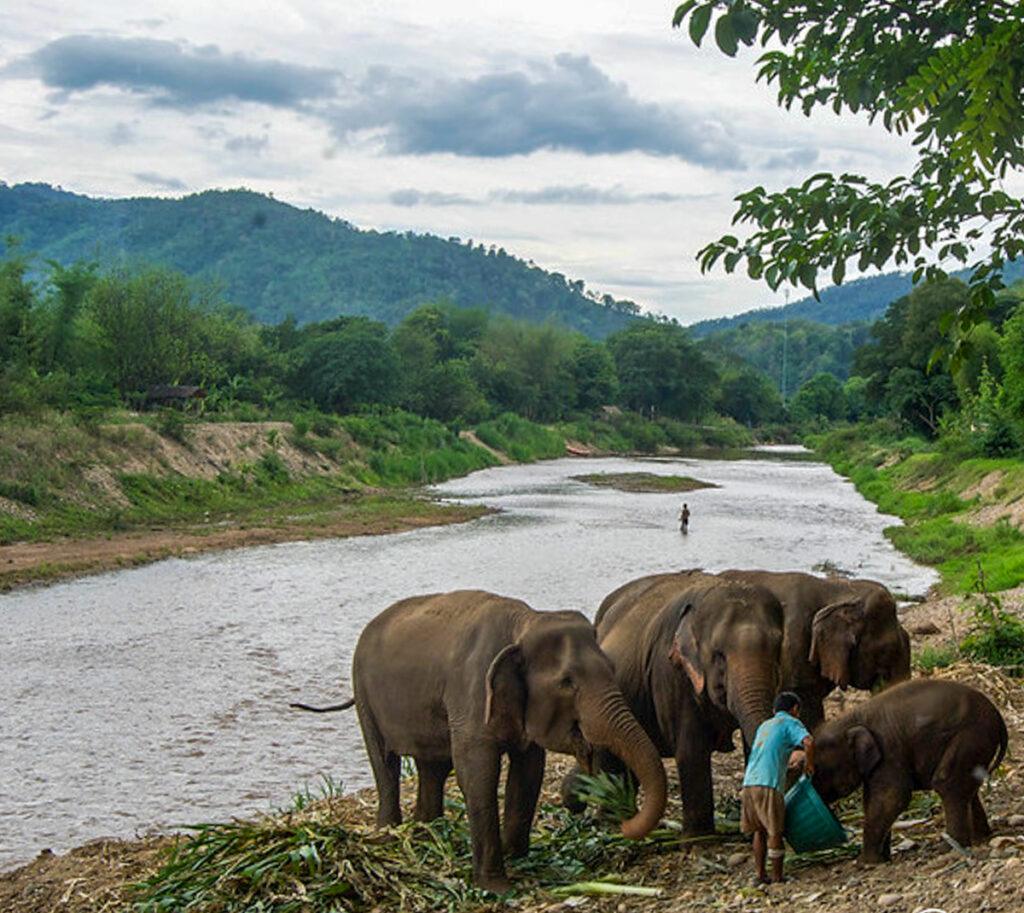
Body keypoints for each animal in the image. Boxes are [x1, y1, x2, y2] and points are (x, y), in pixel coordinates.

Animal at [292, 593, 667, 892]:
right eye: (567, 682)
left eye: (611, 668)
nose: (624, 824)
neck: (525, 622)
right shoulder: (470, 693)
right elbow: (476, 771)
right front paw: (497, 886)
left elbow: (529, 769)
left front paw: (517, 858)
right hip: (365, 695)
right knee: (385, 763)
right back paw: (388, 835)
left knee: (432, 766)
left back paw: (427, 832)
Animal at [585, 573, 782, 839]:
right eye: (719, 654)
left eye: (777, 646)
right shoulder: (670, 672)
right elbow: (691, 749)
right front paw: (700, 838)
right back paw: (613, 821)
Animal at [806, 679, 1007, 863]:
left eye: (815, 770)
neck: (851, 718)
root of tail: (997, 715)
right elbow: (872, 801)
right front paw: (881, 859)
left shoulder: (889, 752)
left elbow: (892, 798)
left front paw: (865, 863)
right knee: (968, 787)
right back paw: (980, 839)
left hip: (970, 736)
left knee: (948, 783)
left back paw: (950, 848)